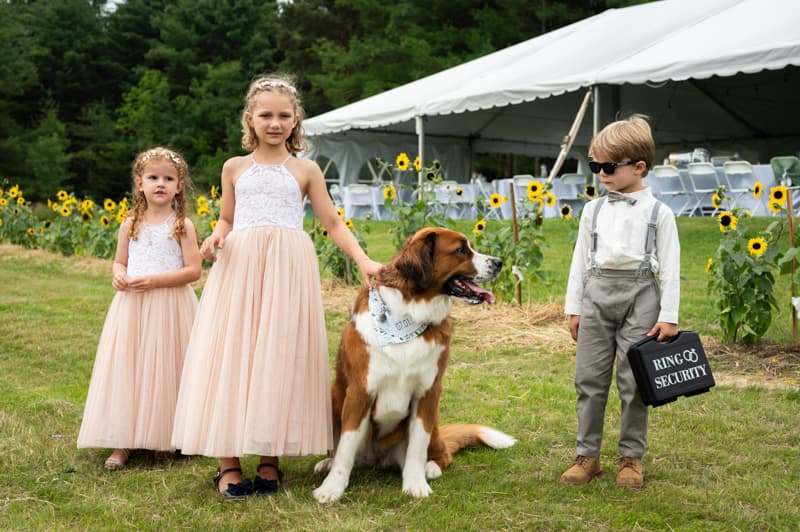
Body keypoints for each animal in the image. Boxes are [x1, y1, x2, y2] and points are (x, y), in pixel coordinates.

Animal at [312, 228, 512, 502]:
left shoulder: (428, 393)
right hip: (332, 400)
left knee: (442, 453)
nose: (499, 262)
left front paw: (415, 484)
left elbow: (418, 446)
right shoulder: (360, 391)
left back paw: (431, 467)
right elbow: (346, 446)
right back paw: (327, 463)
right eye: (461, 250)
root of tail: (376, 459)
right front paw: (332, 487)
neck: (410, 312)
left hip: (434, 423)